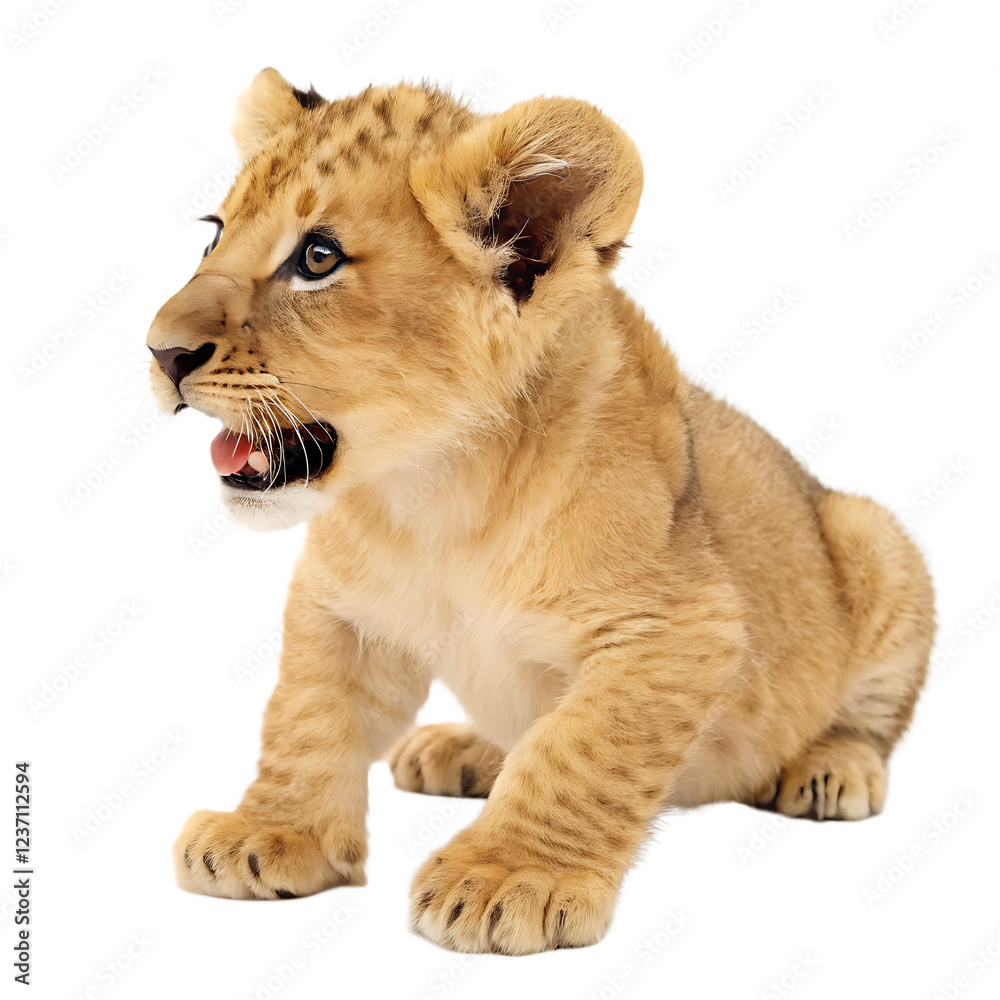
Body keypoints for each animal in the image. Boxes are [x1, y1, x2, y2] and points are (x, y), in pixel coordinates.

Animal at [146, 69, 935, 955]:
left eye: (317, 258)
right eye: (213, 236)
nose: (159, 351)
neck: (433, 496)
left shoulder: (681, 625)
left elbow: (580, 746)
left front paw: (508, 878)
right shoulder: (337, 605)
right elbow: (306, 715)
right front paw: (271, 832)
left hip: (874, 539)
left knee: (869, 719)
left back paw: (831, 768)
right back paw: (463, 749)